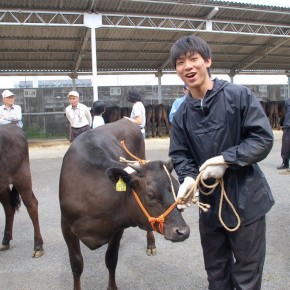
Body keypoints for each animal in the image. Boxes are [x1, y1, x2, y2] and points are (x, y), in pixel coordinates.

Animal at [0, 123, 43, 258]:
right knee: (8, 206)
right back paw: (5, 241)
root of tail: (12, 127)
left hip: (22, 177)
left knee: (31, 204)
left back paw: (38, 246)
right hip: (3, 183)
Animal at [59, 118, 190, 290]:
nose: (183, 232)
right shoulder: (66, 227)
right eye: (150, 195)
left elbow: (111, 259)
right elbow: (76, 264)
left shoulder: (117, 228)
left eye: (177, 188)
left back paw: (151, 245)